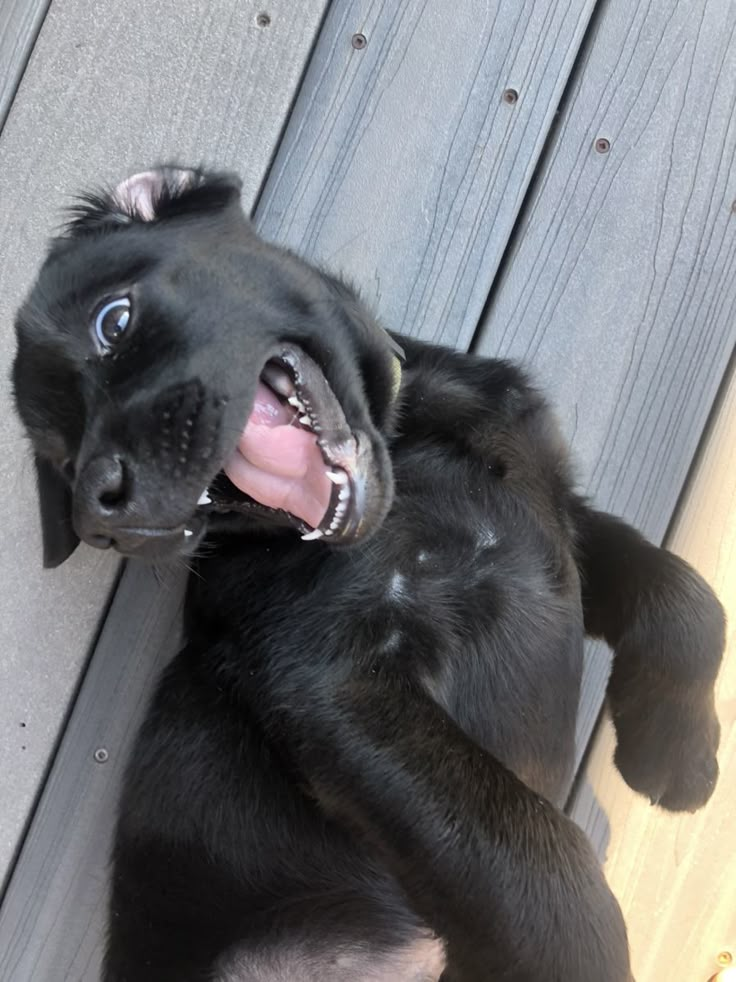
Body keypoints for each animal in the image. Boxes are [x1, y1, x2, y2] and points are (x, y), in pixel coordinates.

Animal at [12, 169, 724, 982]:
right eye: (65, 461)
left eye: (114, 321)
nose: (99, 513)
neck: (409, 443)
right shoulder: (332, 682)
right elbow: (539, 863)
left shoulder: (560, 516)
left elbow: (687, 599)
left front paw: (675, 754)